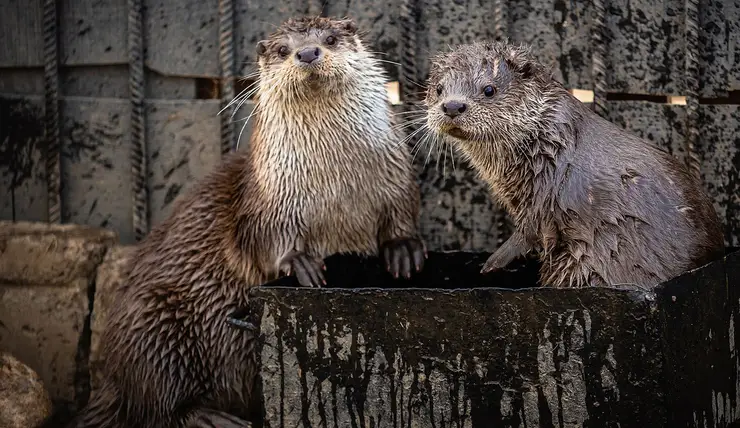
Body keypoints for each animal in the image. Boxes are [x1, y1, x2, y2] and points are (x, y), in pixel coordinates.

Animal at [72, 15, 428, 426]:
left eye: (330, 39)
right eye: (283, 49)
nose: (307, 52)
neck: (336, 190)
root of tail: (109, 380)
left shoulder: (395, 176)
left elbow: (402, 210)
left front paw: (403, 248)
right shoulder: (268, 200)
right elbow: (260, 239)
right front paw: (299, 262)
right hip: (153, 323)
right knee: (154, 403)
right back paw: (211, 417)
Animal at [422, 41, 724, 288]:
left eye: (488, 89)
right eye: (439, 89)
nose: (452, 106)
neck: (547, 142)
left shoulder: (547, 189)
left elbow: (532, 228)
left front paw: (493, 262)